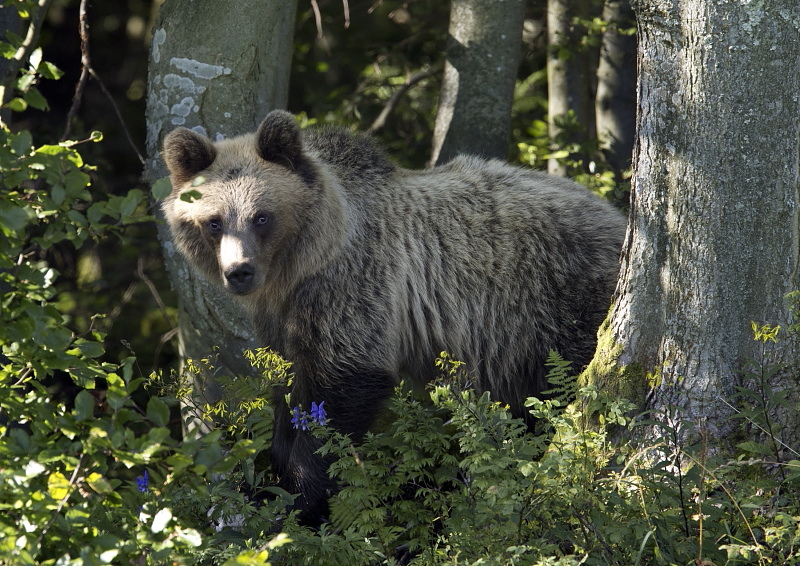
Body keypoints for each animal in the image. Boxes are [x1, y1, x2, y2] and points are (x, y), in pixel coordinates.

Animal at [161, 111, 624, 528]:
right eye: (214, 221)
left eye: (261, 215)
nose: (239, 271)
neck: (297, 269)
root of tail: (619, 216)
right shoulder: (281, 318)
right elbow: (289, 389)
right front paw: (263, 482)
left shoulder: (354, 286)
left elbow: (340, 386)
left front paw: (299, 496)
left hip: (555, 307)